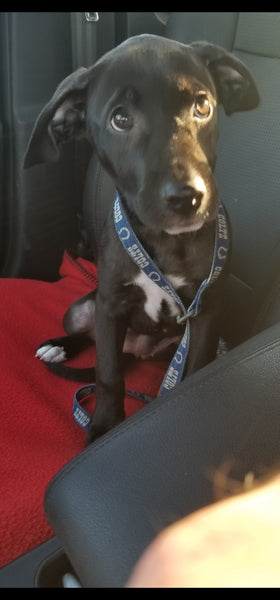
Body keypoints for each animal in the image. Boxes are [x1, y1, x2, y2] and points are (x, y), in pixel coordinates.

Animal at [23, 35, 258, 442]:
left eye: (202, 106)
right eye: (120, 119)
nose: (188, 198)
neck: (165, 243)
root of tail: (139, 349)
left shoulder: (207, 309)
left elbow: (194, 369)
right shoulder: (110, 304)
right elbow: (107, 373)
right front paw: (103, 426)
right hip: (82, 308)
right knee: (93, 339)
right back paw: (58, 347)